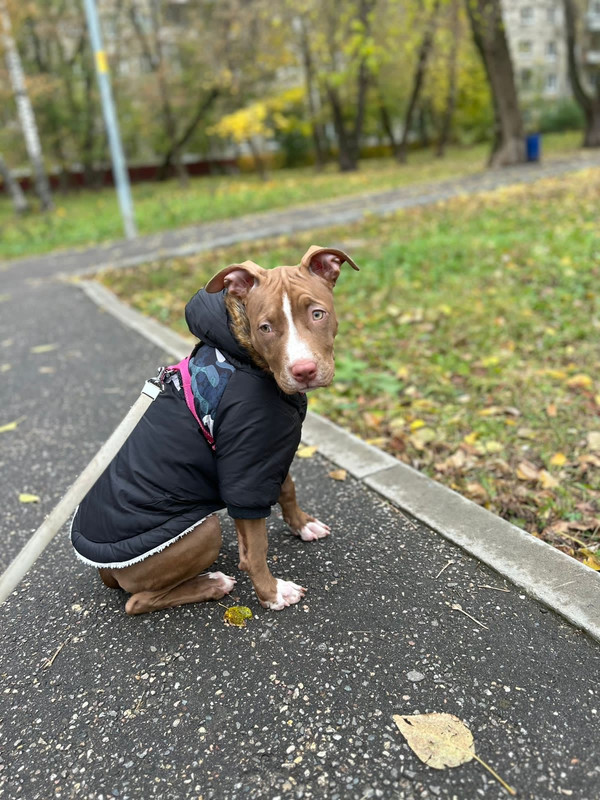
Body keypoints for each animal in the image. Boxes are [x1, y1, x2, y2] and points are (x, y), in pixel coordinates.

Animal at [71, 245, 358, 614]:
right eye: (266, 327)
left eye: (317, 314)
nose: (303, 370)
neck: (243, 357)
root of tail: (104, 571)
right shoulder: (242, 467)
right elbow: (255, 550)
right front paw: (272, 594)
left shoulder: (265, 450)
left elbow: (287, 487)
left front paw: (303, 525)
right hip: (202, 532)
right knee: (137, 601)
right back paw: (212, 583)